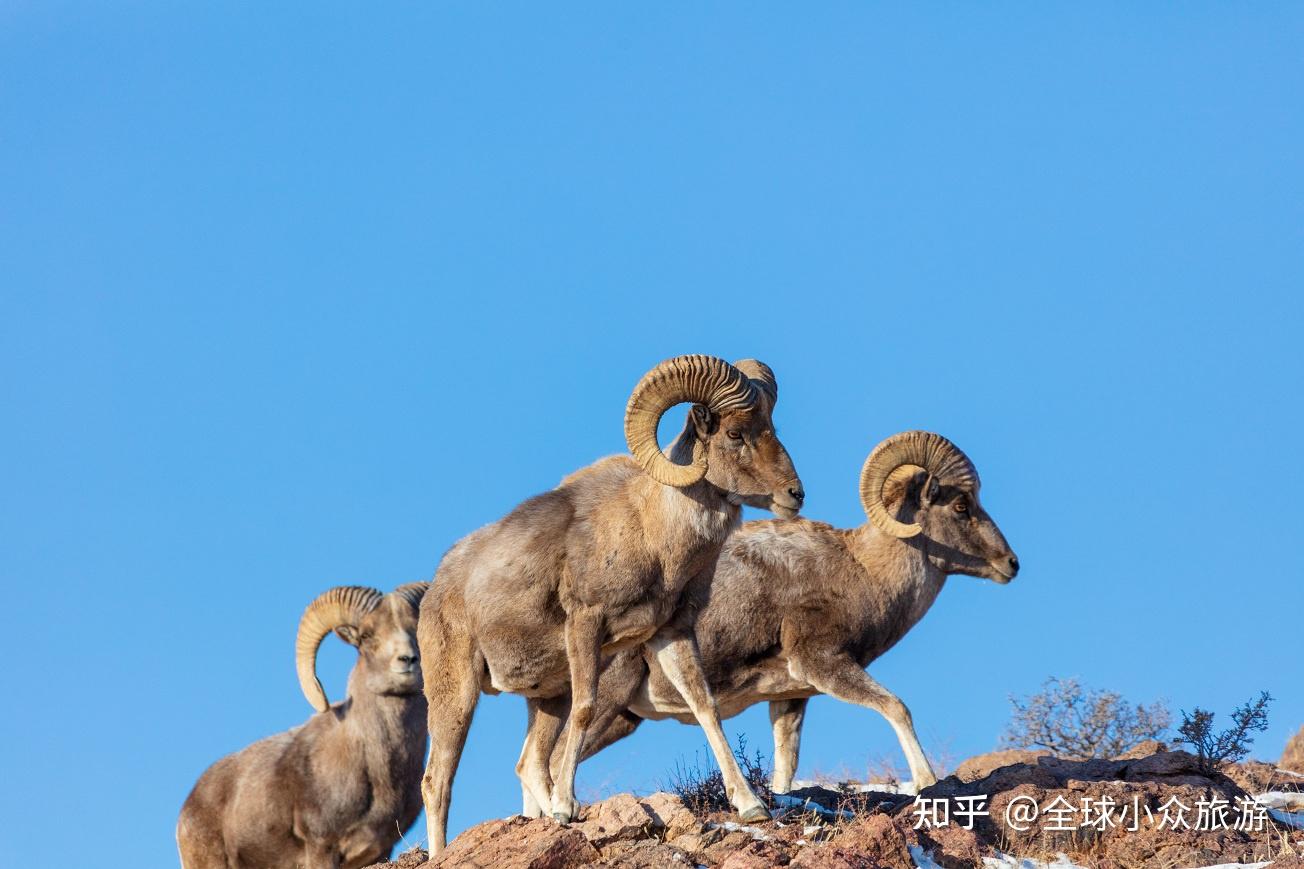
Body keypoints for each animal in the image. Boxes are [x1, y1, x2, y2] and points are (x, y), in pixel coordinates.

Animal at [173, 579, 425, 866]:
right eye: (366, 636)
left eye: (415, 628)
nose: (408, 660)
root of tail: (187, 807)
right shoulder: (322, 847)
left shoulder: (381, 852)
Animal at [422, 354, 798, 850]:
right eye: (735, 434)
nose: (795, 494)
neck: (654, 535)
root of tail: (438, 586)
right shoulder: (587, 625)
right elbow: (586, 709)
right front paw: (566, 808)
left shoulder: (671, 633)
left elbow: (706, 707)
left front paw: (752, 806)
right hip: (457, 696)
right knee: (437, 782)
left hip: (546, 698)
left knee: (529, 763)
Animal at [521, 430, 1017, 793]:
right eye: (961, 505)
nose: (1011, 564)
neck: (862, 572)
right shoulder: (824, 663)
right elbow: (897, 708)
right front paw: (927, 781)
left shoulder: (790, 698)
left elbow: (785, 767)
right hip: (605, 704)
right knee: (547, 765)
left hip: (620, 718)